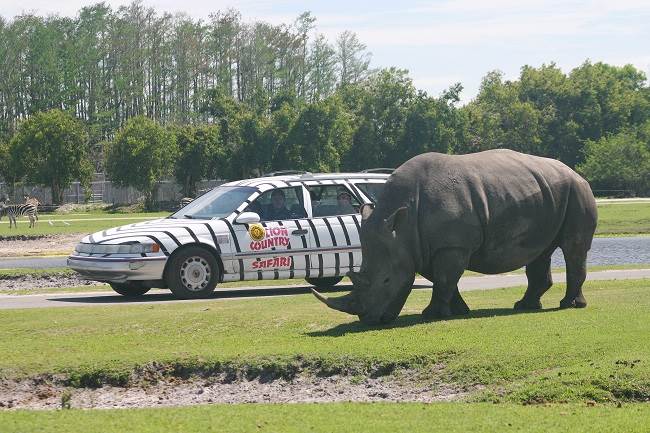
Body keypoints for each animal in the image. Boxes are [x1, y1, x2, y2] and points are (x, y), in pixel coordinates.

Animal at [312, 150, 596, 322]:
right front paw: (458, 311)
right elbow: (443, 280)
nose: (371, 320)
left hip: (577, 192)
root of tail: (576, 173)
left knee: (573, 248)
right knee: (540, 251)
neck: (401, 227)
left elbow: (444, 279)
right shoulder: (423, 247)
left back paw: (569, 305)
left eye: (386, 280)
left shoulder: (451, 246)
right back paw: (524, 306)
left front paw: (431, 315)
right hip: (545, 195)